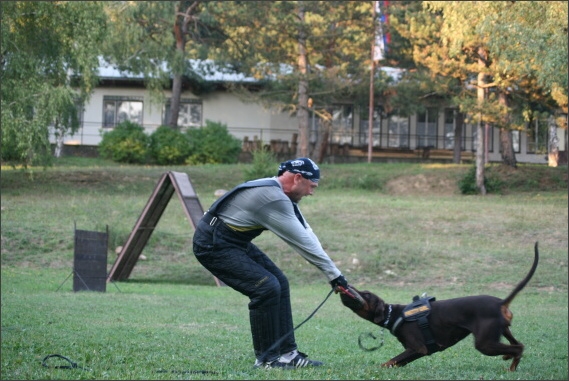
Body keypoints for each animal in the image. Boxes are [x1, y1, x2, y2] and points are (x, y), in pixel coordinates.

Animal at [340, 242, 540, 370]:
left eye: (366, 294)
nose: (345, 285)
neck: (394, 315)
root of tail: (500, 302)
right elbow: (394, 363)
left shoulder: (418, 348)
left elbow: (388, 362)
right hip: (502, 330)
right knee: (518, 345)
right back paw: (508, 359)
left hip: (485, 343)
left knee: (518, 348)